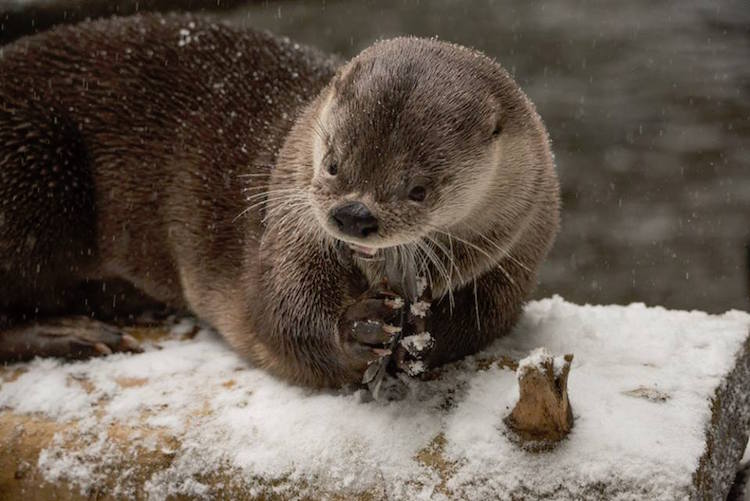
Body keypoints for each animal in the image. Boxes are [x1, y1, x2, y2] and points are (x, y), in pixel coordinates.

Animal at [0, 12, 560, 386]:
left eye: (418, 189)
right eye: (332, 162)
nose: (353, 215)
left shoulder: (511, 255)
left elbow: (483, 320)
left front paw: (424, 338)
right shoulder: (286, 224)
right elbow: (278, 314)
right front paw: (360, 328)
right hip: (34, 167)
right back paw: (71, 334)